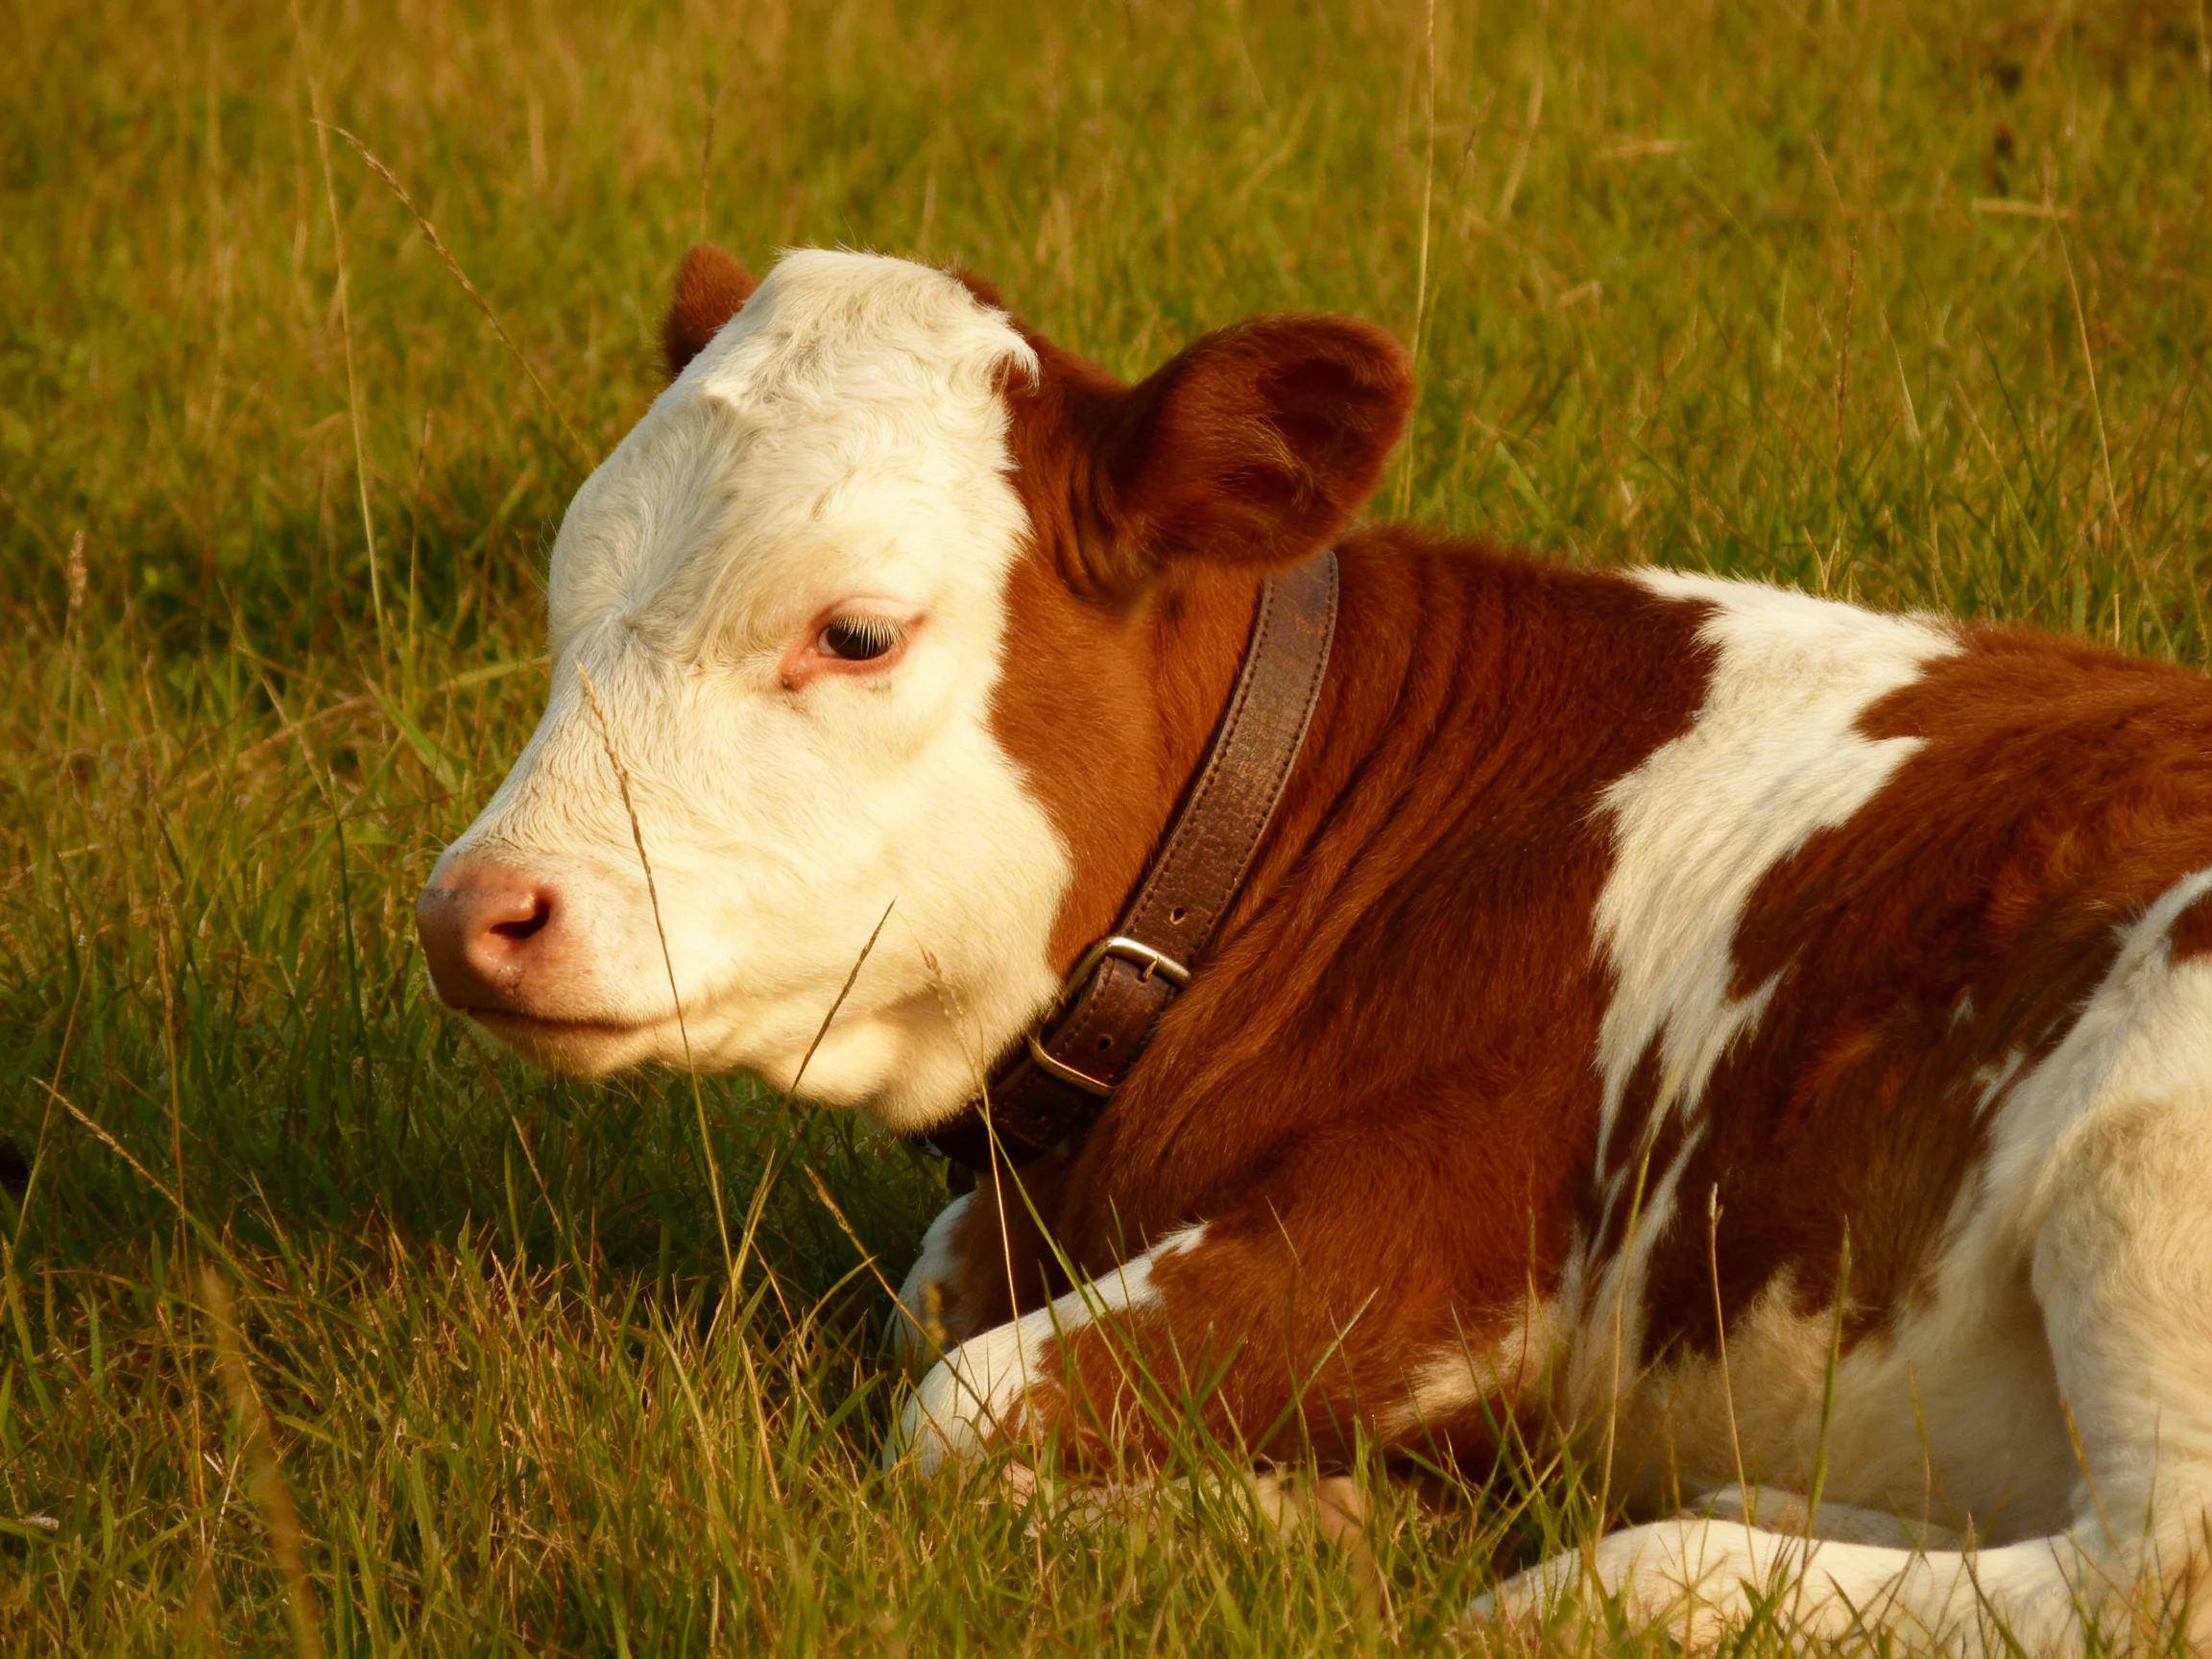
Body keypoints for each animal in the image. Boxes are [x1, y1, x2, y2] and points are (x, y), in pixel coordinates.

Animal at [414, 244, 2212, 1652]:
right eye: (566, 600)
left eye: (854, 632)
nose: (471, 907)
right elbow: (928, 1314)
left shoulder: (1441, 1248)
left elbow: (954, 1409)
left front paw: (1321, 1522)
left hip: (2142, 1167)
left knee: (2138, 1581)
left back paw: (1595, 1581)